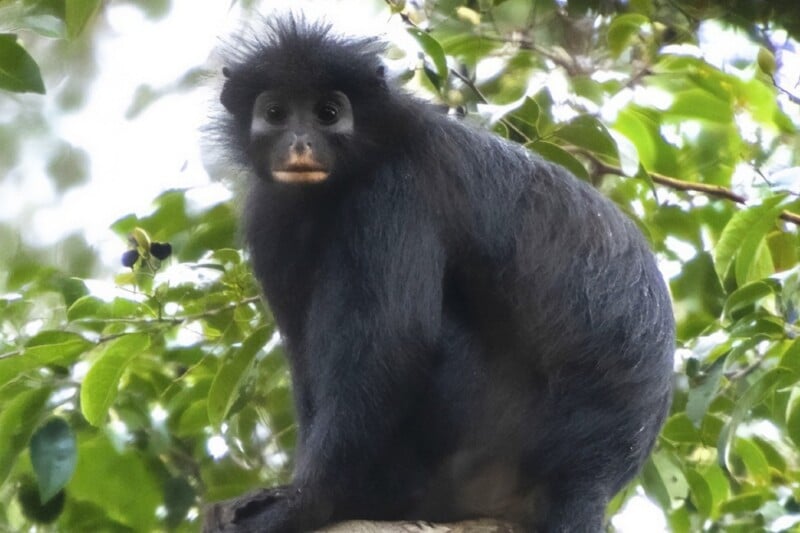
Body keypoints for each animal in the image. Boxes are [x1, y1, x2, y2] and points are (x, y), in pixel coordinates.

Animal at [204, 16, 674, 533]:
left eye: (327, 113)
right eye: (276, 112)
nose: (300, 142)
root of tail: (594, 472)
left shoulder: (395, 189)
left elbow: (393, 341)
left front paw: (307, 503)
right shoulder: (270, 214)